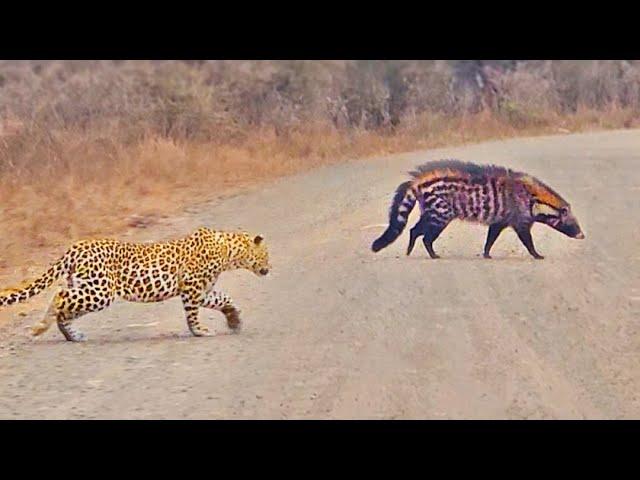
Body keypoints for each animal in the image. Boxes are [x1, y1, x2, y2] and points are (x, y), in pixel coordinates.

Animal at [0, 228, 270, 342]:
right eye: (266, 255)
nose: (269, 268)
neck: (230, 251)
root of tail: (76, 246)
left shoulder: (202, 291)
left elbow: (225, 299)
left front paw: (234, 320)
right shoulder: (192, 289)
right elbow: (193, 315)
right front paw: (200, 331)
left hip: (87, 287)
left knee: (64, 310)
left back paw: (73, 336)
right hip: (100, 291)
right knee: (59, 298)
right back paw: (39, 328)